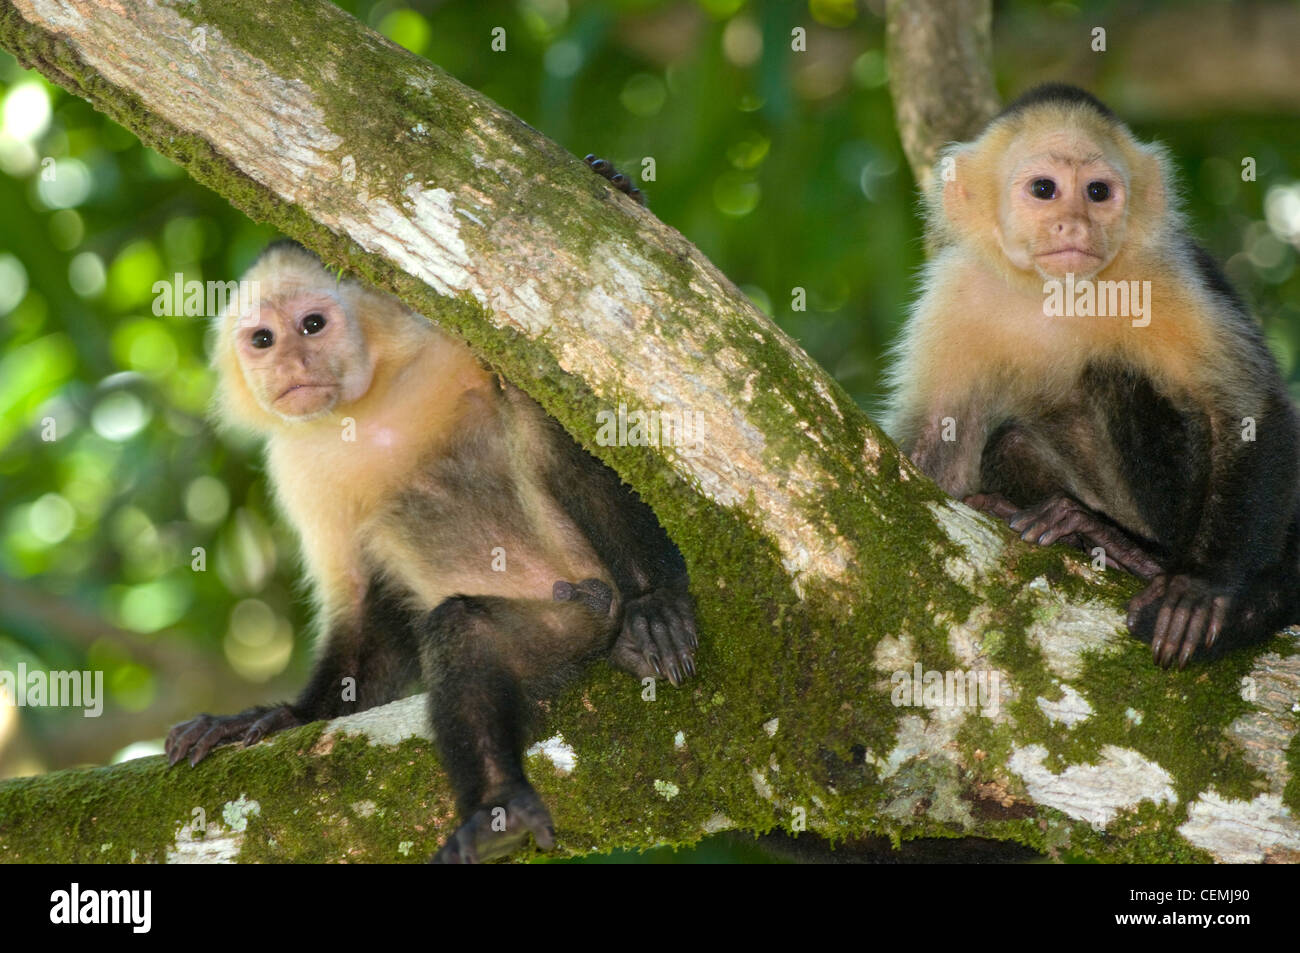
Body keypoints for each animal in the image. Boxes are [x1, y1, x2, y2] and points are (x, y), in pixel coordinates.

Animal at [164, 239, 697, 863]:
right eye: (263, 339)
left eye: (312, 325)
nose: (293, 364)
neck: (362, 410)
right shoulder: (296, 468)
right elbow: (359, 600)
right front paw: (285, 716)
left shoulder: (445, 348)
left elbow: (560, 413)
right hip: (567, 623)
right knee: (469, 632)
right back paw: (501, 810)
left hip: (593, 598)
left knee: (533, 425)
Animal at [882, 83, 1300, 670]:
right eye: (1044, 189)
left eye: (1098, 191)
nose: (1076, 224)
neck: (1056, 292)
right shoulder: (956, 292)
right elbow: (935, 460)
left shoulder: (1160, 273)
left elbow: (1248, 411)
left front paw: (1203, 585)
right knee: (1011, 440)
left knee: (1115, 372)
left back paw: (1132, 553)